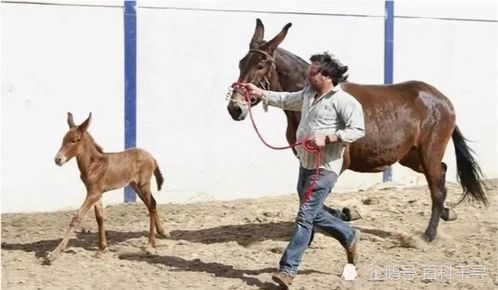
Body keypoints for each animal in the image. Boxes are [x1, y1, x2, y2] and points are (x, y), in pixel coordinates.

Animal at [46, 112, 167, 264]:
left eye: (74, 140)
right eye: (63, 139)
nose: (58, 159)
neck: (93, 165)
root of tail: (152, 157)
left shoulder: (93, 193)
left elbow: (77, 218)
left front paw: (54, 254)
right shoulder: (96, 193)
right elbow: (100, 217)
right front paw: (101, 248)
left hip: (143, 184)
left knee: (151, 206)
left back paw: (151, 242)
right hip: (134, 185)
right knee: (152, 204)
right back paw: (161, 234)